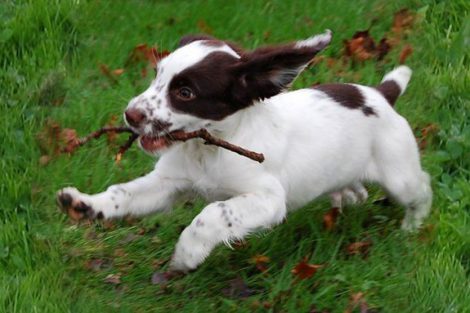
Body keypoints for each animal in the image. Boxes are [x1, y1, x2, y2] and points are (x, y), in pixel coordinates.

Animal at [57, 30, 432, 272]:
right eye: (156, 76)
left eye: (185, 93)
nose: (131, 115)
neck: (206, 149)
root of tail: (380, 94)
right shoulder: (169, 182)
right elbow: (123, 193)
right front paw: (84, 204)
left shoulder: (269, 199)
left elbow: (213, 212)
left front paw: (187, 254)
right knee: (356, 190)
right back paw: (346, 202)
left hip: (398, 173)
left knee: (422, 189)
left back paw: (411, 229)